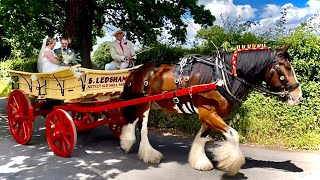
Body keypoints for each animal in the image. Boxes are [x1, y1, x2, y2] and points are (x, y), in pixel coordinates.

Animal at [119, 44, 302, 175]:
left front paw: (200, 161)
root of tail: (137, 70)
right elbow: (233, 135)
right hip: (144, 105)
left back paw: (126, 142)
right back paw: (148, 154)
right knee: (142, 127)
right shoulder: (207, 112)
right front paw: (231, 164)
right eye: (282, 67)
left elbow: (202, 137)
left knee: (132, 121)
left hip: (146, 103)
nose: (298, 95)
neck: (221, 77)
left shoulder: (211, 115)